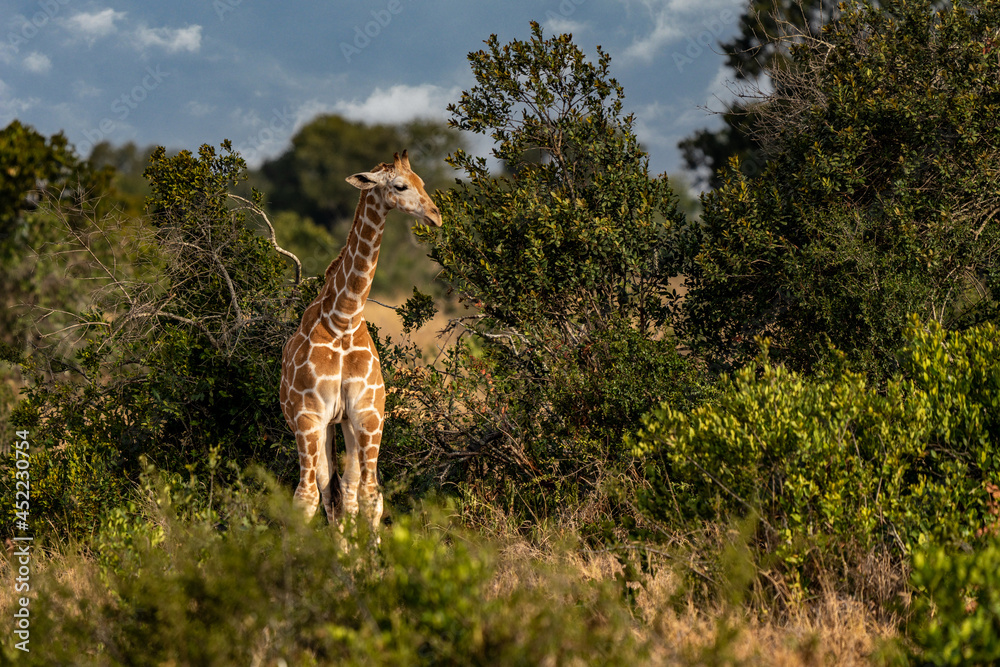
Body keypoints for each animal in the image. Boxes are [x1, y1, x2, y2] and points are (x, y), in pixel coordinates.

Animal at [279, 150, 441, 532]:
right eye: (400, 186)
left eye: (422, 182)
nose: (436, 215)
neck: (343, 319)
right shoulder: (308, 418)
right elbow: (305, 500)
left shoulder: (369, 415)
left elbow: (370, 497)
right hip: (320, 428)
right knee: (327, 494)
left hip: (346, 426)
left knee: (347, 495)